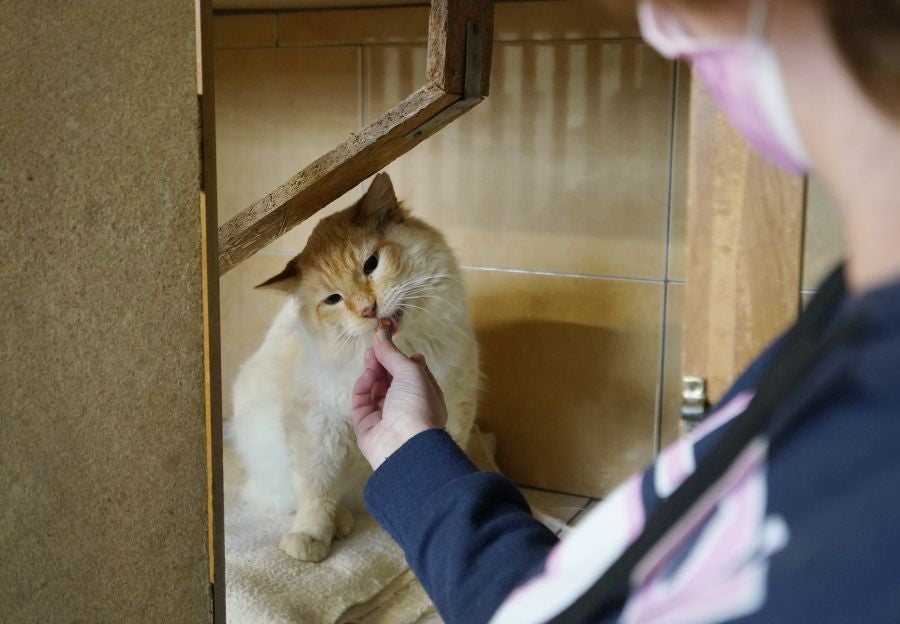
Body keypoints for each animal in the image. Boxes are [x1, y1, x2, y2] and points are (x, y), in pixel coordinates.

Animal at [236, 173, 482, 564]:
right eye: (333, 300)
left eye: (371, 265)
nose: (368, 310)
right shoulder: (317, 425)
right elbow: (316, 492)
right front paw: (310, 540)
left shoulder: (455, 409)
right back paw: (338, 524)